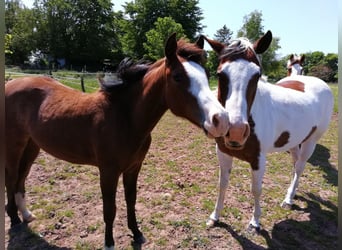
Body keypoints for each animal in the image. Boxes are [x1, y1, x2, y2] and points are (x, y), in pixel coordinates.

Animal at [4, 33, 230, 250]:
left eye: (206, 75)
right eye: (177, 77)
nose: (221, 120)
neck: (125, 118)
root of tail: (9, 84)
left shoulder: (133, 167)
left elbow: (131, 200)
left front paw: (136, 233)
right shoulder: (108, 171)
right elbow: (109, 209)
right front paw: (109, 243)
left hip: (32, 146)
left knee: (21, 179)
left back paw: (27, 215)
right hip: (14, 147)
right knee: (11, 179)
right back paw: (15, 219)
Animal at [202, 30, 332, 232]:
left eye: (257, 75)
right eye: (220, 74)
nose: (236, 131)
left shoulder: (258, 160)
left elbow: (256, 189)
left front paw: (255, 222)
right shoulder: (223, 153)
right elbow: (222, 185)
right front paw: (214, 217)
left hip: (311, 141)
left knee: (300, 167)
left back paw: (288, 199)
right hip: (294, 141)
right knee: (295, 164)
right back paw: (293, 194)